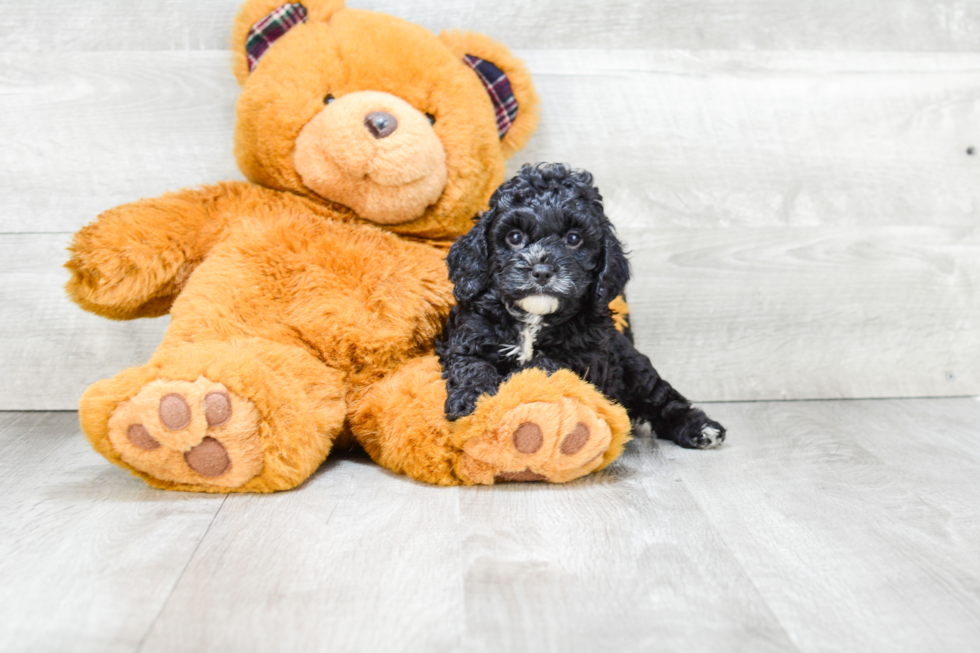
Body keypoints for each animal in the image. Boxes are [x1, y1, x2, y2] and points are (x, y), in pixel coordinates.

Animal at [440, 163, 724, 448]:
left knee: (662, 398)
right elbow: (473, 366)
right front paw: (471, 400)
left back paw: (701, 428)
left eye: (573, 238)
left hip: (635, 368)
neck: (535, 317)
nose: (542, 271)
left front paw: (514, 383)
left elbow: (544, 365)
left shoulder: (586, 355)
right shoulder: (469, 337)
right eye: (515, 237)